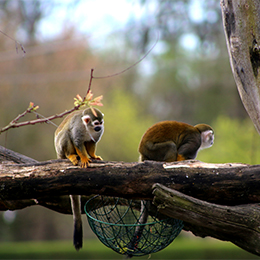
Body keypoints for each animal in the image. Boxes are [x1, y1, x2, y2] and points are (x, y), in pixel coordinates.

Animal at [54, 106, 104, 251]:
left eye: (101, 123)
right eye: (96, 123)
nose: (99, 127)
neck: (88, 127)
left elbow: (91, 142)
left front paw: (92, 155)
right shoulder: (78, 127)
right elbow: (77, 141)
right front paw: (84, 158)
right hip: (60, 149)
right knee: (66, 134)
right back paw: (71, 155)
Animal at [126, 120, 213, 258]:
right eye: (211, 135)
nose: (213, 140)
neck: (198, 132)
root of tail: (142, 152)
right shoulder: (195, 140)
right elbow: (181, 153)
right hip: (153, 150)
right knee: (171, 146)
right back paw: (169, 163)